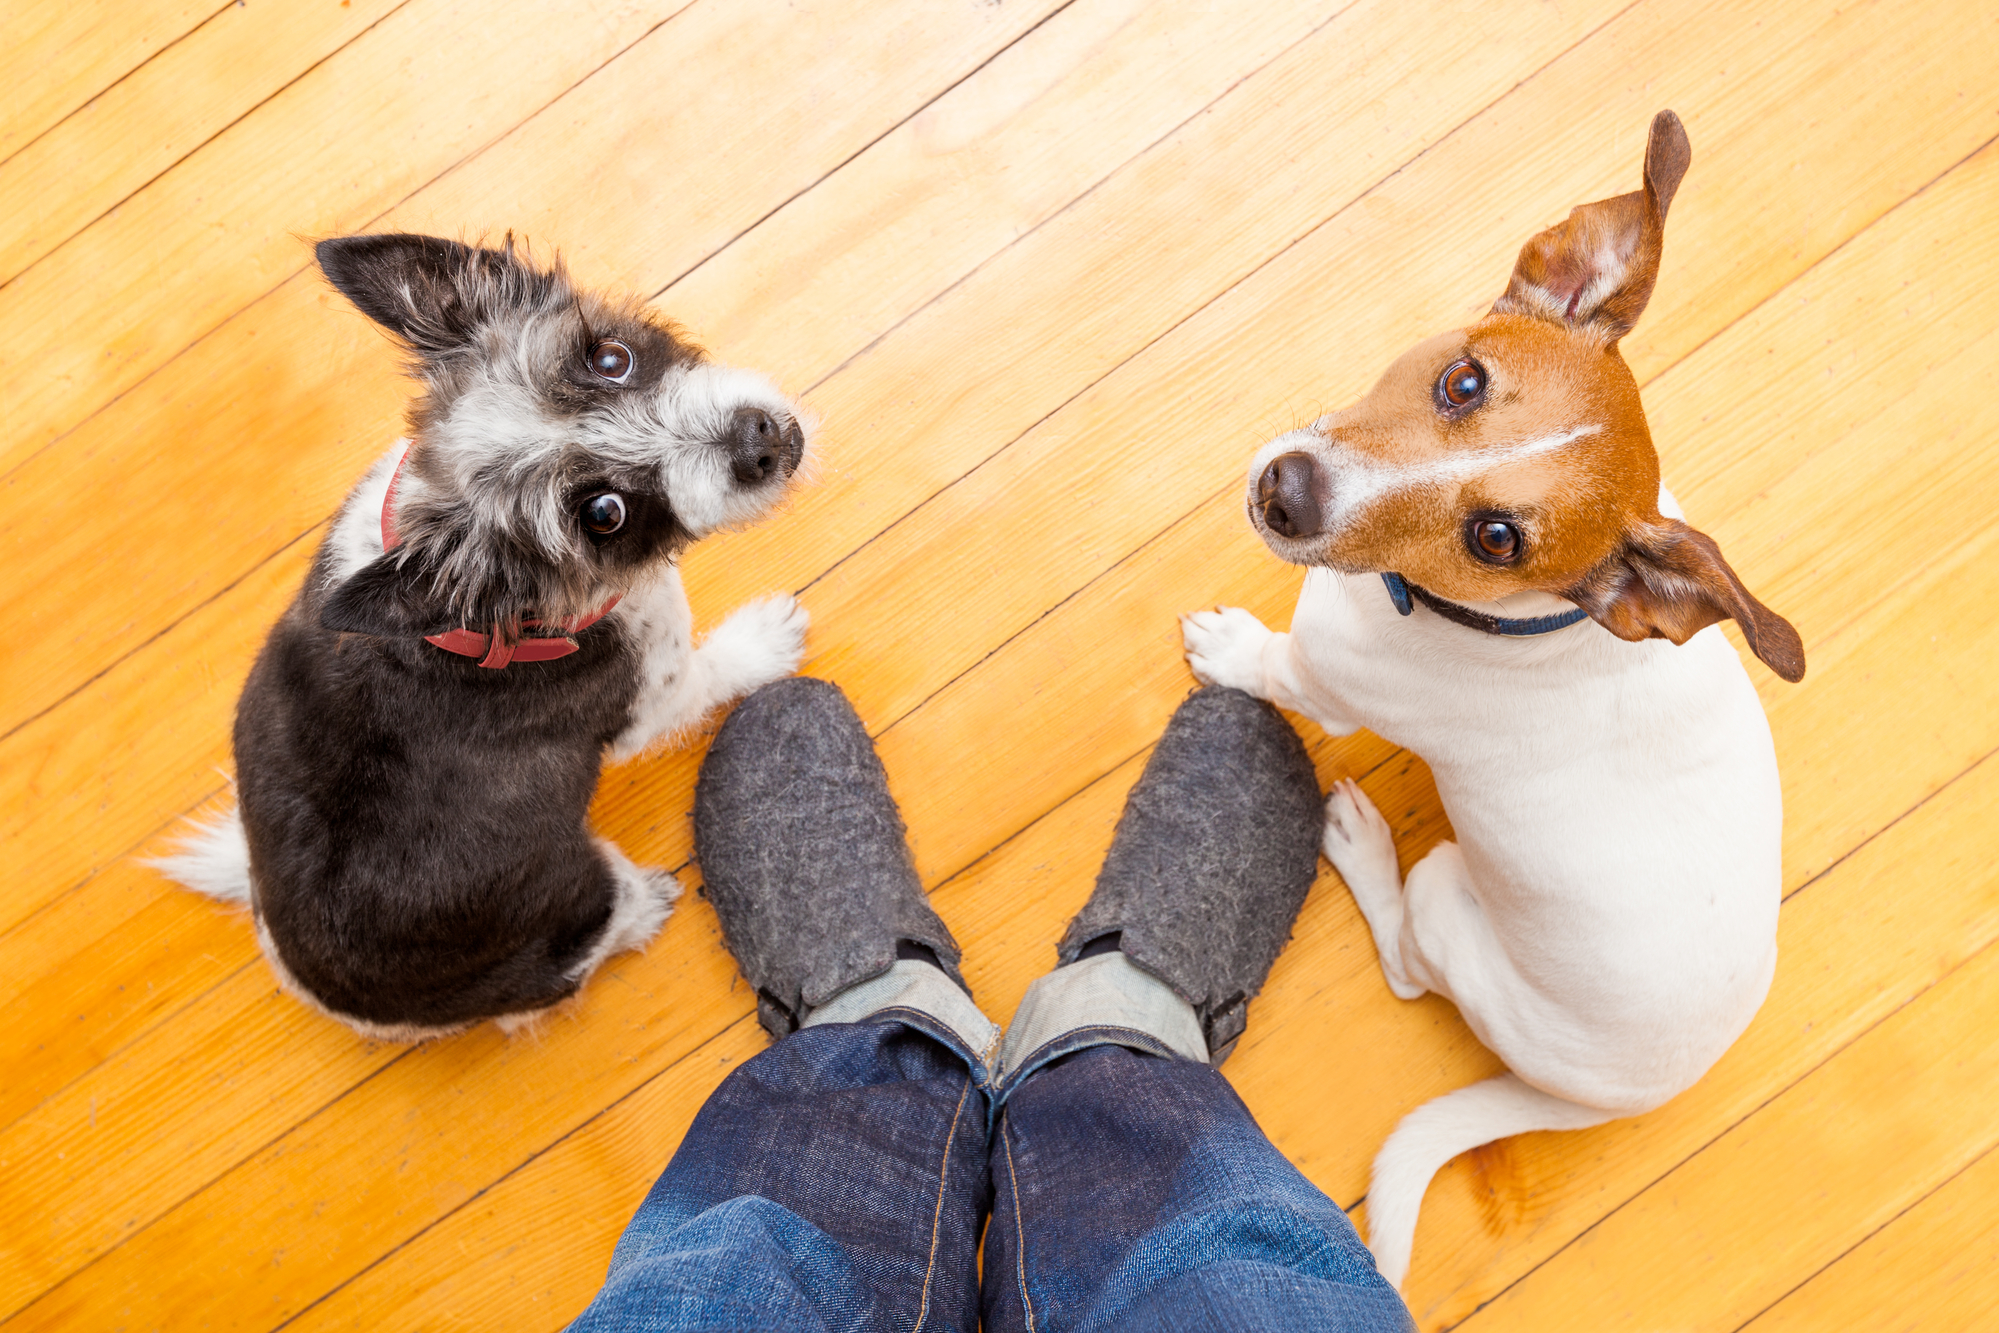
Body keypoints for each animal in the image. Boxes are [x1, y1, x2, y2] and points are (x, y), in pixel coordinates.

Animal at [1175, 117, 1807, 1295]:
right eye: (1463, 381)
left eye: (1498, 538)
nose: (1285, 493)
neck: (1516, 624)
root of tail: (1593, 1102)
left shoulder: (1326, 684)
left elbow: (1272, 666)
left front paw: (1228, 645)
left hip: (1442, 901)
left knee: (1405, 967)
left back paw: (1356, 840)